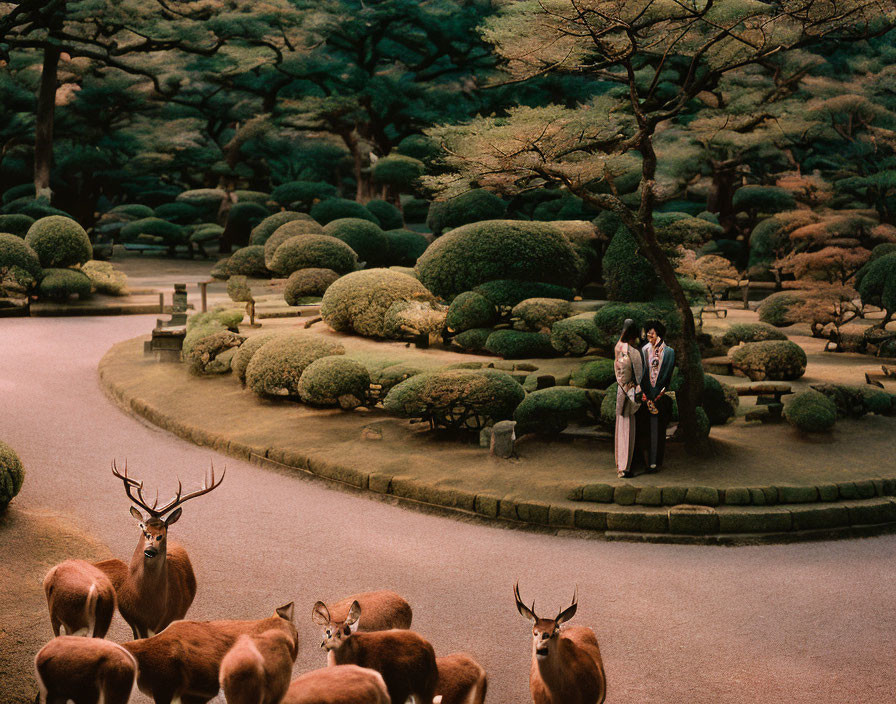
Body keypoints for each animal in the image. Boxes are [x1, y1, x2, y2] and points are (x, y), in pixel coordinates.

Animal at [93, 460, 224, 640]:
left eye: (164, 529)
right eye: (143, 527)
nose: (150, 550)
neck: (149, 607)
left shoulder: (167, 618)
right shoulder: (135, 622)